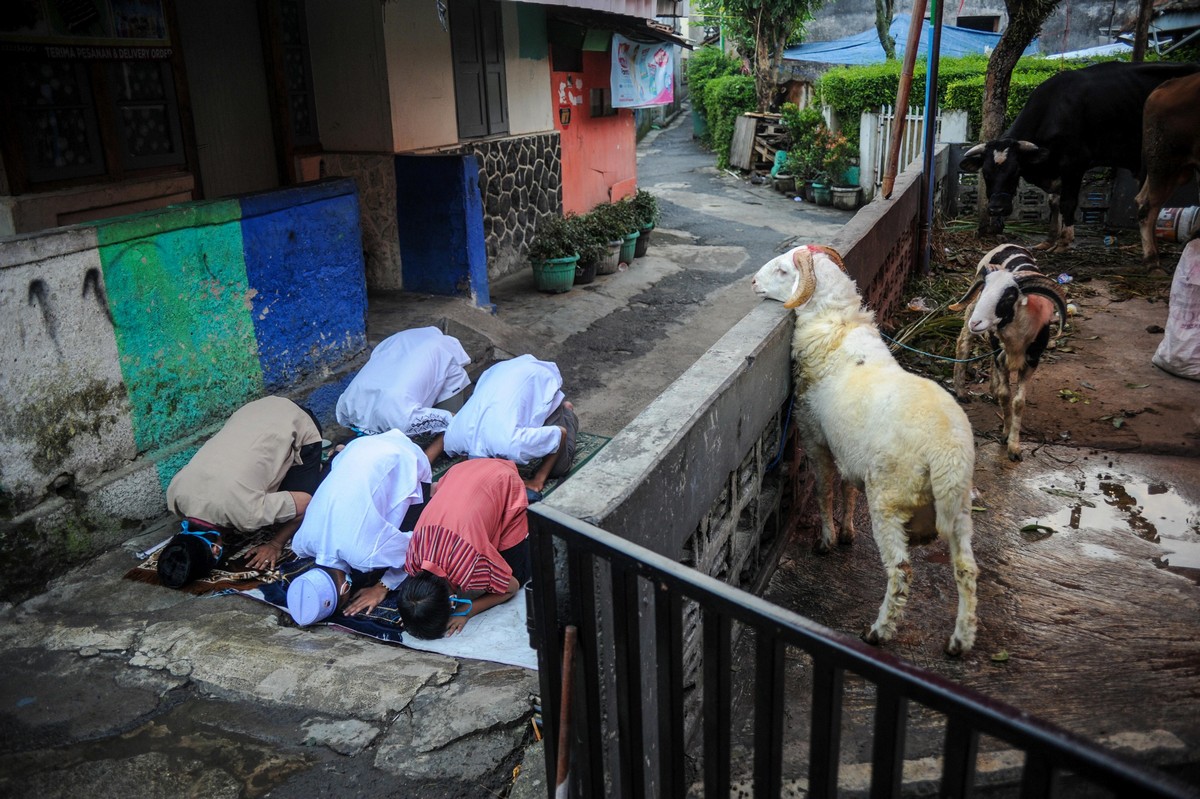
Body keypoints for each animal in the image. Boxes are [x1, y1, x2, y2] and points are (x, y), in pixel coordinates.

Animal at [753, 244, 979, 652]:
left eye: (782, 271)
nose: (751, 282)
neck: (838, 328)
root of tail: (945, 452)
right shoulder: (848, 450)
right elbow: (847, 489)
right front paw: (846, 532)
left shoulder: (814, 436)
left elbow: (824, 490)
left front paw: (827, 539)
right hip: (959, 507)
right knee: (966, 568)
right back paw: (960, 640)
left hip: (889, 497)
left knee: (901, 570)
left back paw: (878, 631)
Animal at [950, 245, 1065, 463]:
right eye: (984, 289)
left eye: (1009, 297)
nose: (976, 323)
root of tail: (1010, 245)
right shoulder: (1000, 354)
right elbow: (1006, 395)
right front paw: (1004, 434)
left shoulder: (1031, 362)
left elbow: (1018, 402)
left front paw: (1014, 448)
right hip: (972, 312)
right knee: (963, 344)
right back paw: (961, 391)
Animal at [960, 63, 1200, 253]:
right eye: (985, 173)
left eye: (1015, 172)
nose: (997, 209)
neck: (1053, 110)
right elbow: (1054, 202)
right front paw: (1049, 240)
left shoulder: (1074, 164)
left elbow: (1068, 202)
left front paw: (1064, 242)